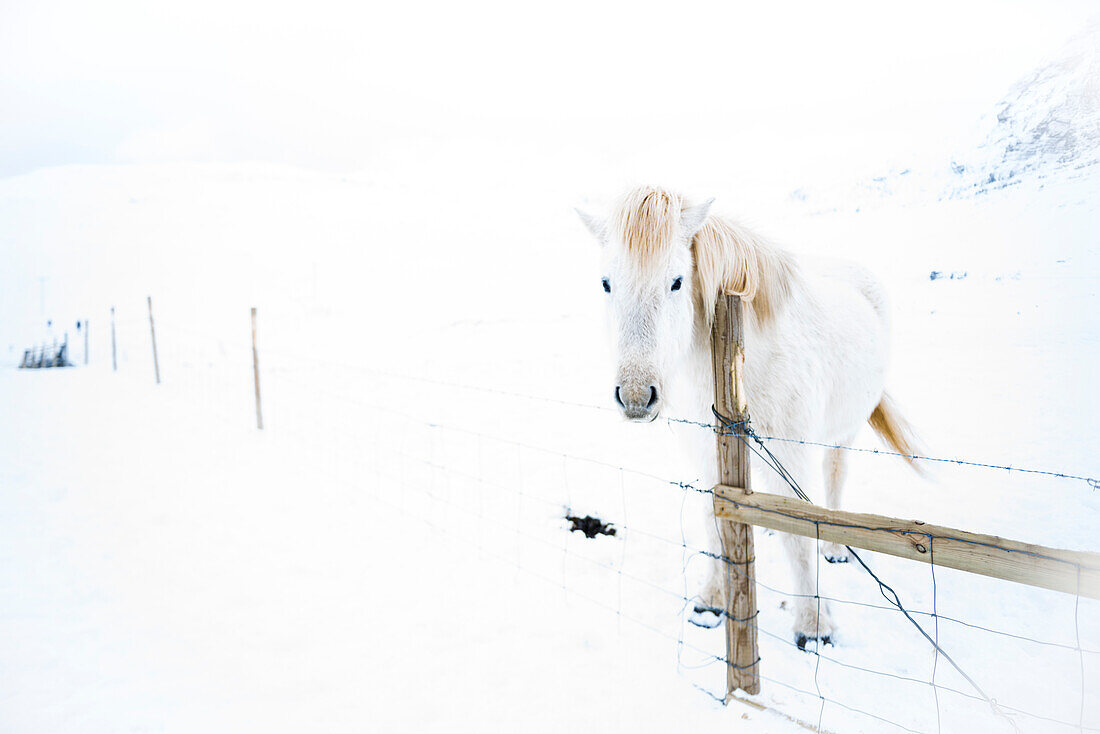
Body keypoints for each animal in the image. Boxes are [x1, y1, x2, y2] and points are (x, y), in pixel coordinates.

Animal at [576, 184, 919, 647]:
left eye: (677, 282)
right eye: (606, 283)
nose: (635, 396)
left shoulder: (791, 453)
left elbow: (799, 536)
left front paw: (814, 626)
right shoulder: (706, 453)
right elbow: (713, 521)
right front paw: (711, 600)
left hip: (841, 432)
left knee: (834, 477)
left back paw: (833, 551)